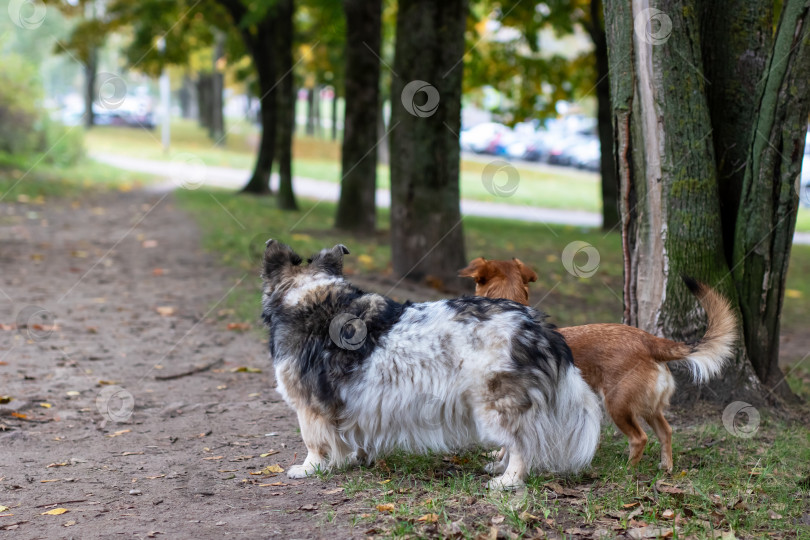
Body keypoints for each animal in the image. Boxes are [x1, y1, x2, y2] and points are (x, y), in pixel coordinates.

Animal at [258, 240, 600, 490]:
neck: (310, 297)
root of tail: (540, 328)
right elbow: (347, 436)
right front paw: (352, 459)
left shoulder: (309, 406)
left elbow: (313, 443)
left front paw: (309, 469)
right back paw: (497, 467)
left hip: (496, 405)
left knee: (521, 445)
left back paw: (508, 481)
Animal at [458, 258, 736, 472]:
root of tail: (648, 340)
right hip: (648, 406)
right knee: (665, 432)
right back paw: (665, 466)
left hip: (617, 404)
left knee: (640, 438)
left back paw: (627, 470)